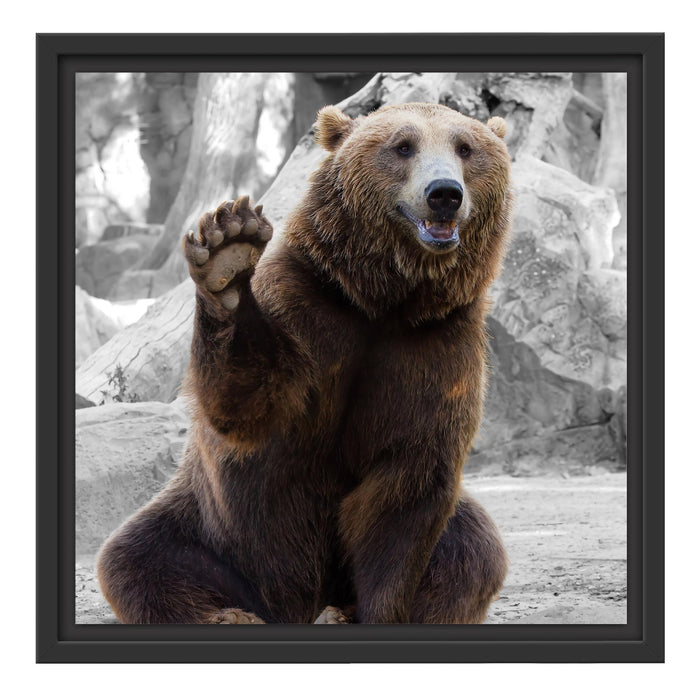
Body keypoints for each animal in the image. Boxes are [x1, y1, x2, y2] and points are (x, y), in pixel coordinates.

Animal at [97, 102, 513, 625]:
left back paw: (338, 610)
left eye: (465, 147)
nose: (444, 194)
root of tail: (292, 605)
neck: (384, 300)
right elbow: (249, 404)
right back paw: (232, 615)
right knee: (137, 558)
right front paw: (228, 253)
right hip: (211, 531)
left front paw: (377, 612)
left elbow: (407, 489)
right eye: (402, 146)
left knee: (474, 551)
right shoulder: (308, 308)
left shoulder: (436, 346)